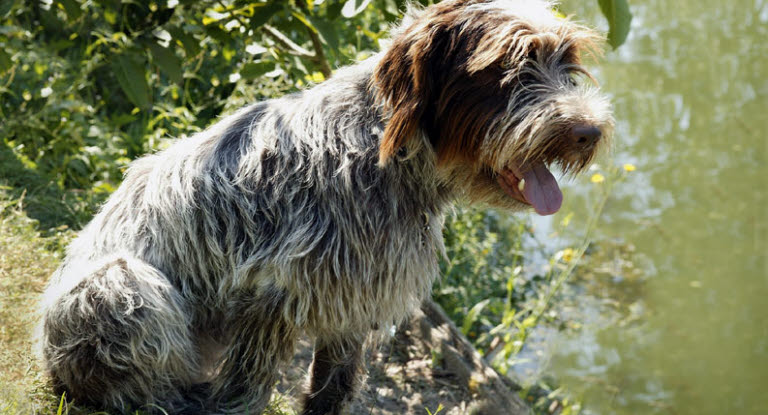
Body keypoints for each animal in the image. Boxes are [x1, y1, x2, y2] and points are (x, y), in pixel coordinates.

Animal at [37, 1, 612, 414]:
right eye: (511, 68)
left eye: (567, 62)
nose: (589, 132)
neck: (381, 149)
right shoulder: (271, 295)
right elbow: (247, 386)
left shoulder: (357, 295)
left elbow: (332, 386)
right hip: (120, 283)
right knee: (137, 390)